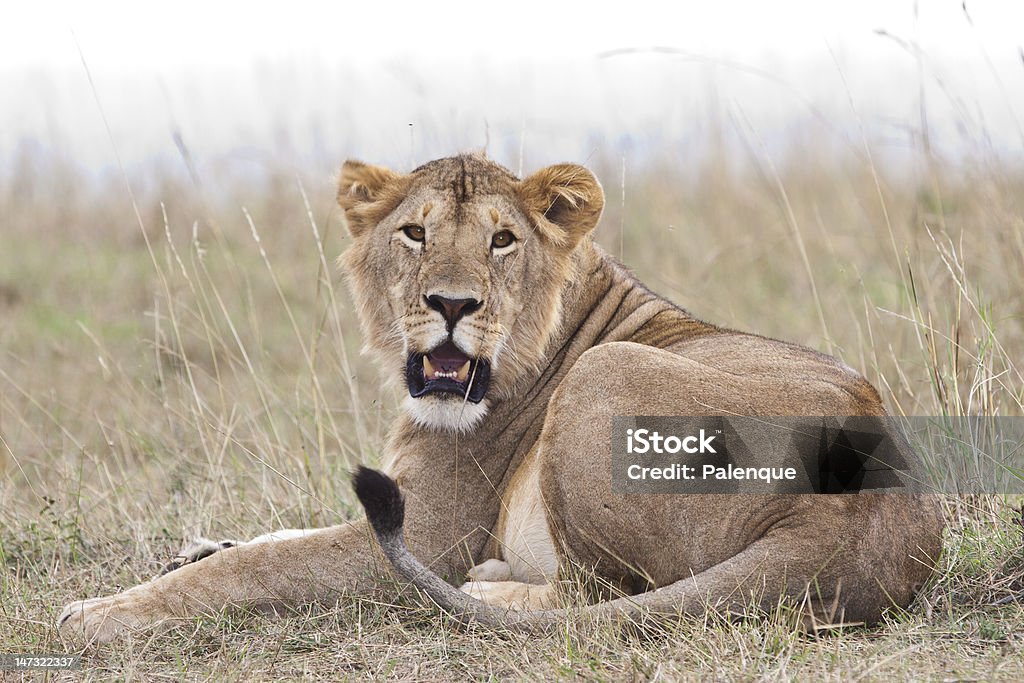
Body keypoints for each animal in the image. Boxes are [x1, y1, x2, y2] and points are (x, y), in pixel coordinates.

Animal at [59, 154, 942, 647]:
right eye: (414, 232)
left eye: (501, 239)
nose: (452, 304)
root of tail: (871, 518)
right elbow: (262, 542)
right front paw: (199, 545)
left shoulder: (432, 528)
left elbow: (255, 568)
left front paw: (96, 615)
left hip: (605, 380)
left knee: (600, 594)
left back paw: (489, 585)